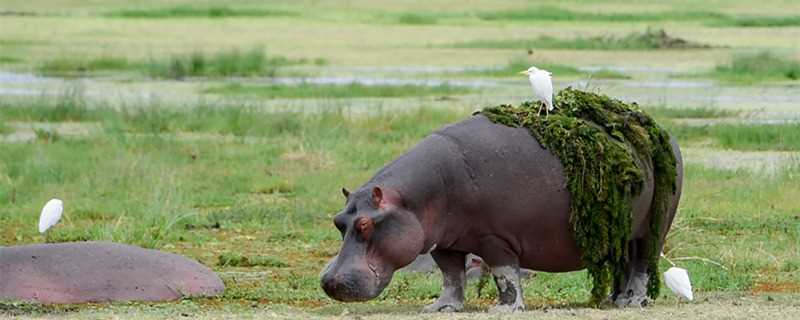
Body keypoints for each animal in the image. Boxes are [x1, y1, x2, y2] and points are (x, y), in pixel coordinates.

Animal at [318, 114, 680, 312]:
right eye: (338, 221)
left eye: (366, 224)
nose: (330, 281)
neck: (411, 200)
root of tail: (663, 131)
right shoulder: (444, 242)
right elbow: (451, 275)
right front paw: (440, 307)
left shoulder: (495, 238)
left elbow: (504, 274)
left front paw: (504, 308)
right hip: (622, 234)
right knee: (624, 263)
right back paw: (614, 300)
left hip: (653, 228)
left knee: (643, 263)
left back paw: (634, 302)